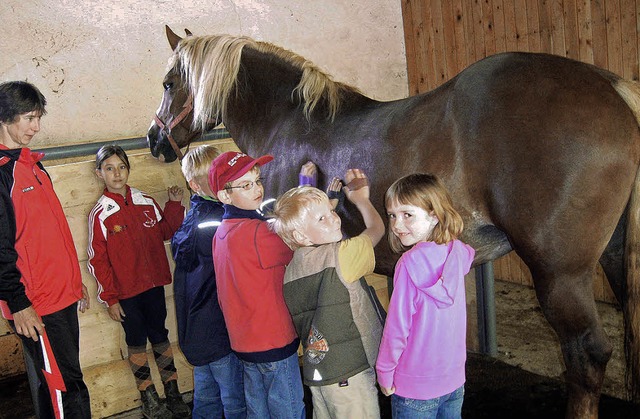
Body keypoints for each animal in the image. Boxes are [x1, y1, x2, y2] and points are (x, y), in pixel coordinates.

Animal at [148, 27, 640, 419]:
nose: (155, 140)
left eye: (170, 82)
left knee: (586, 357)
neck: (289, 122)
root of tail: (614, 88)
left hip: (561, 274)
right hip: (615, 261)